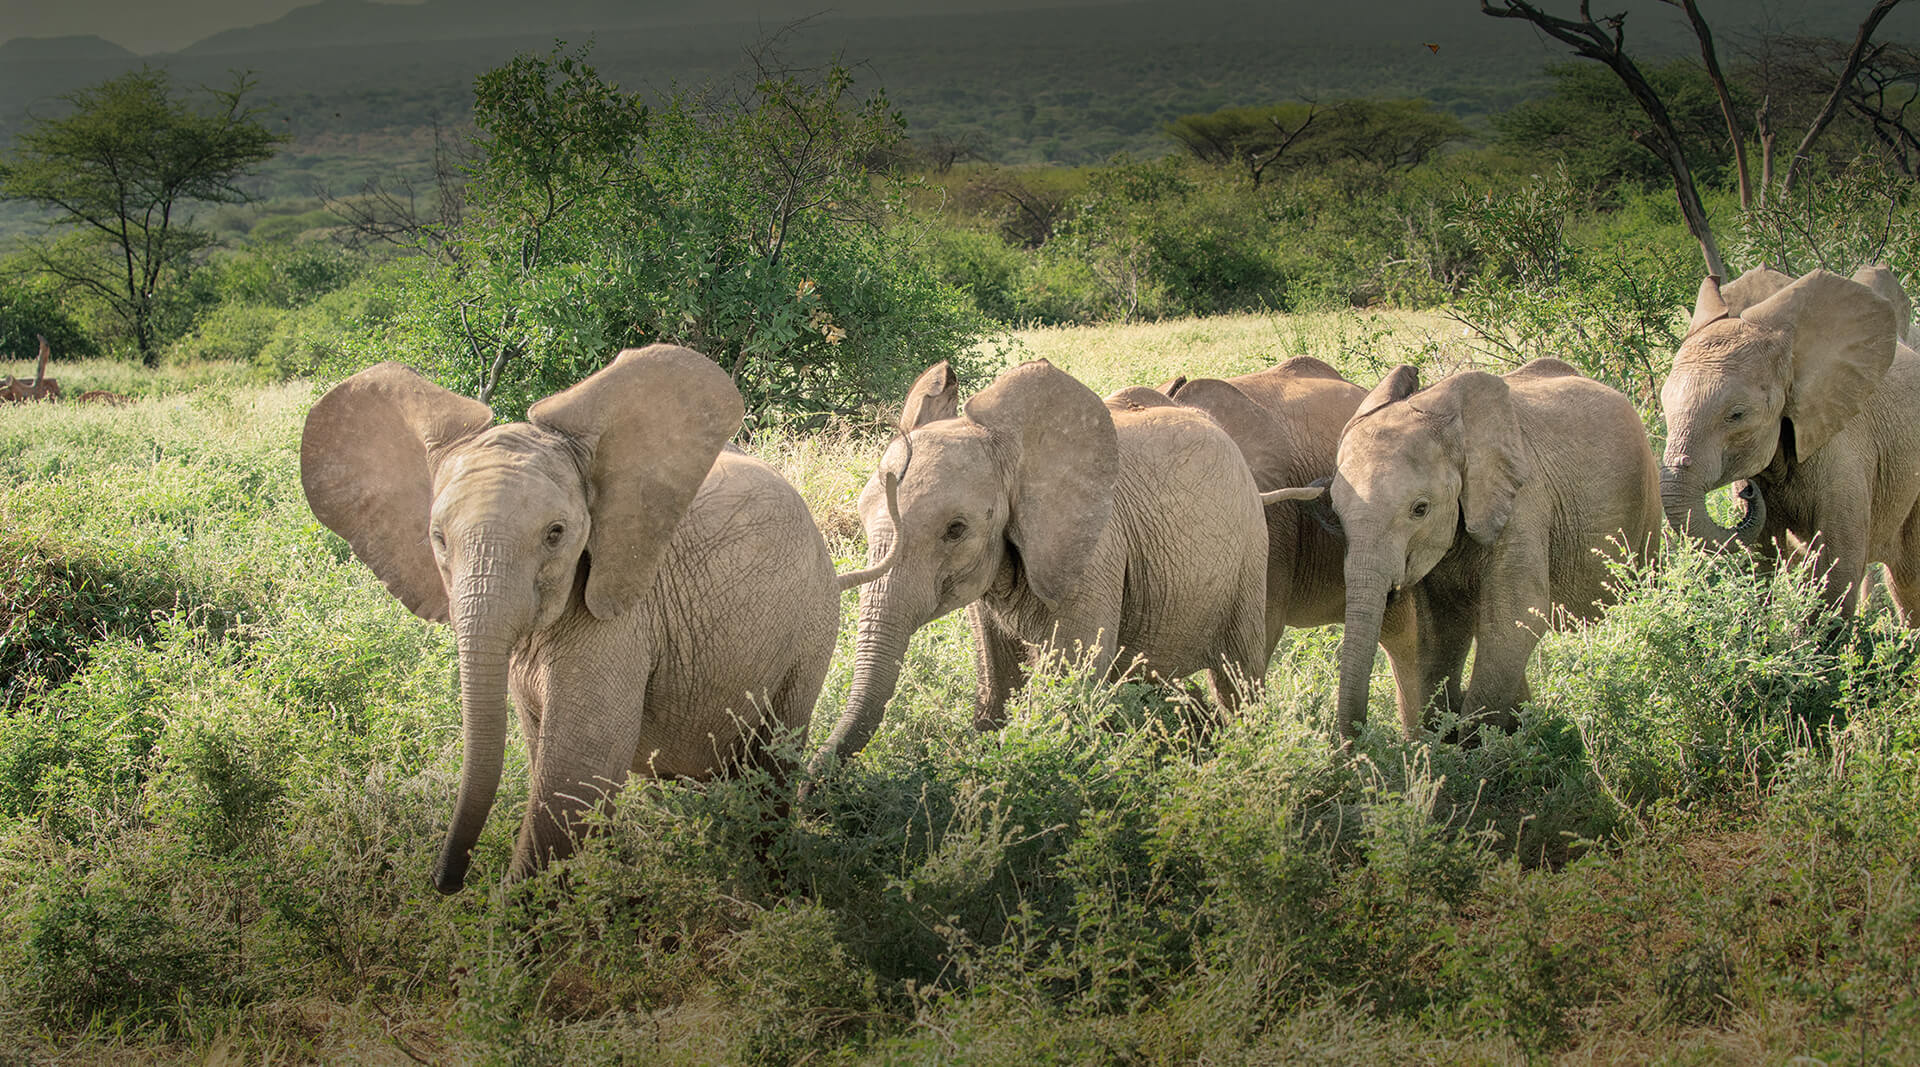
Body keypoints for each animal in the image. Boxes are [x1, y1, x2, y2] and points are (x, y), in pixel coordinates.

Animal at [301, 345, 857, 893]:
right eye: (437, 538)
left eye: (556, 534)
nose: (447, 881)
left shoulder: (619, 621)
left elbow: (574, 774)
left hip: (813, 625)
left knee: (775, 757)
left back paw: (769, 885)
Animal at [808, 358, 1270, 773]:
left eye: (955, 530)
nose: (808, 782)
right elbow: (998, 681)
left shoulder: (1092, 551)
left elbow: (1067, 684)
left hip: (1251, 555)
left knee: (1240, 677)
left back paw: (1246, 750)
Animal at [1269, 359, 1660, 739]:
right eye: (1335, 513)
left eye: (1420, 509)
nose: (1353, 745)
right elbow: (1439, 628)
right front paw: (1443, 739)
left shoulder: (1523, 503)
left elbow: (1516, 615)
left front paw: (1473, 745)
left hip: (1648, 500)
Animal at [1660, 265, 1920, 619]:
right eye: (1664, 407)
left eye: (1736, 415)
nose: (1748, 492)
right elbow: (1759, 562)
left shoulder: (1843, 456)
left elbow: (1836, 571)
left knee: (1907, 581)